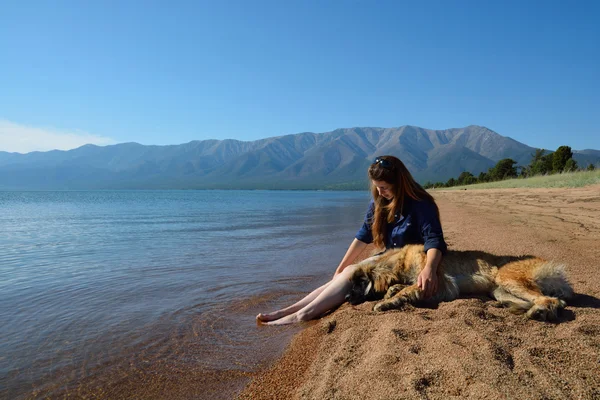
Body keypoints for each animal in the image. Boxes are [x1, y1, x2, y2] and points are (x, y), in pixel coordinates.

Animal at [344, 244, 576, 322]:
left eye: (357, 284)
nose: (345, 297)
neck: (401, 260)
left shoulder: (437, 284)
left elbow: (405, 290)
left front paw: (385, 302)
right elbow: (398, 287)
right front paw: (390, 292)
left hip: (507, 277)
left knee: (551, 300)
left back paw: (539, 311)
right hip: (500, 290)